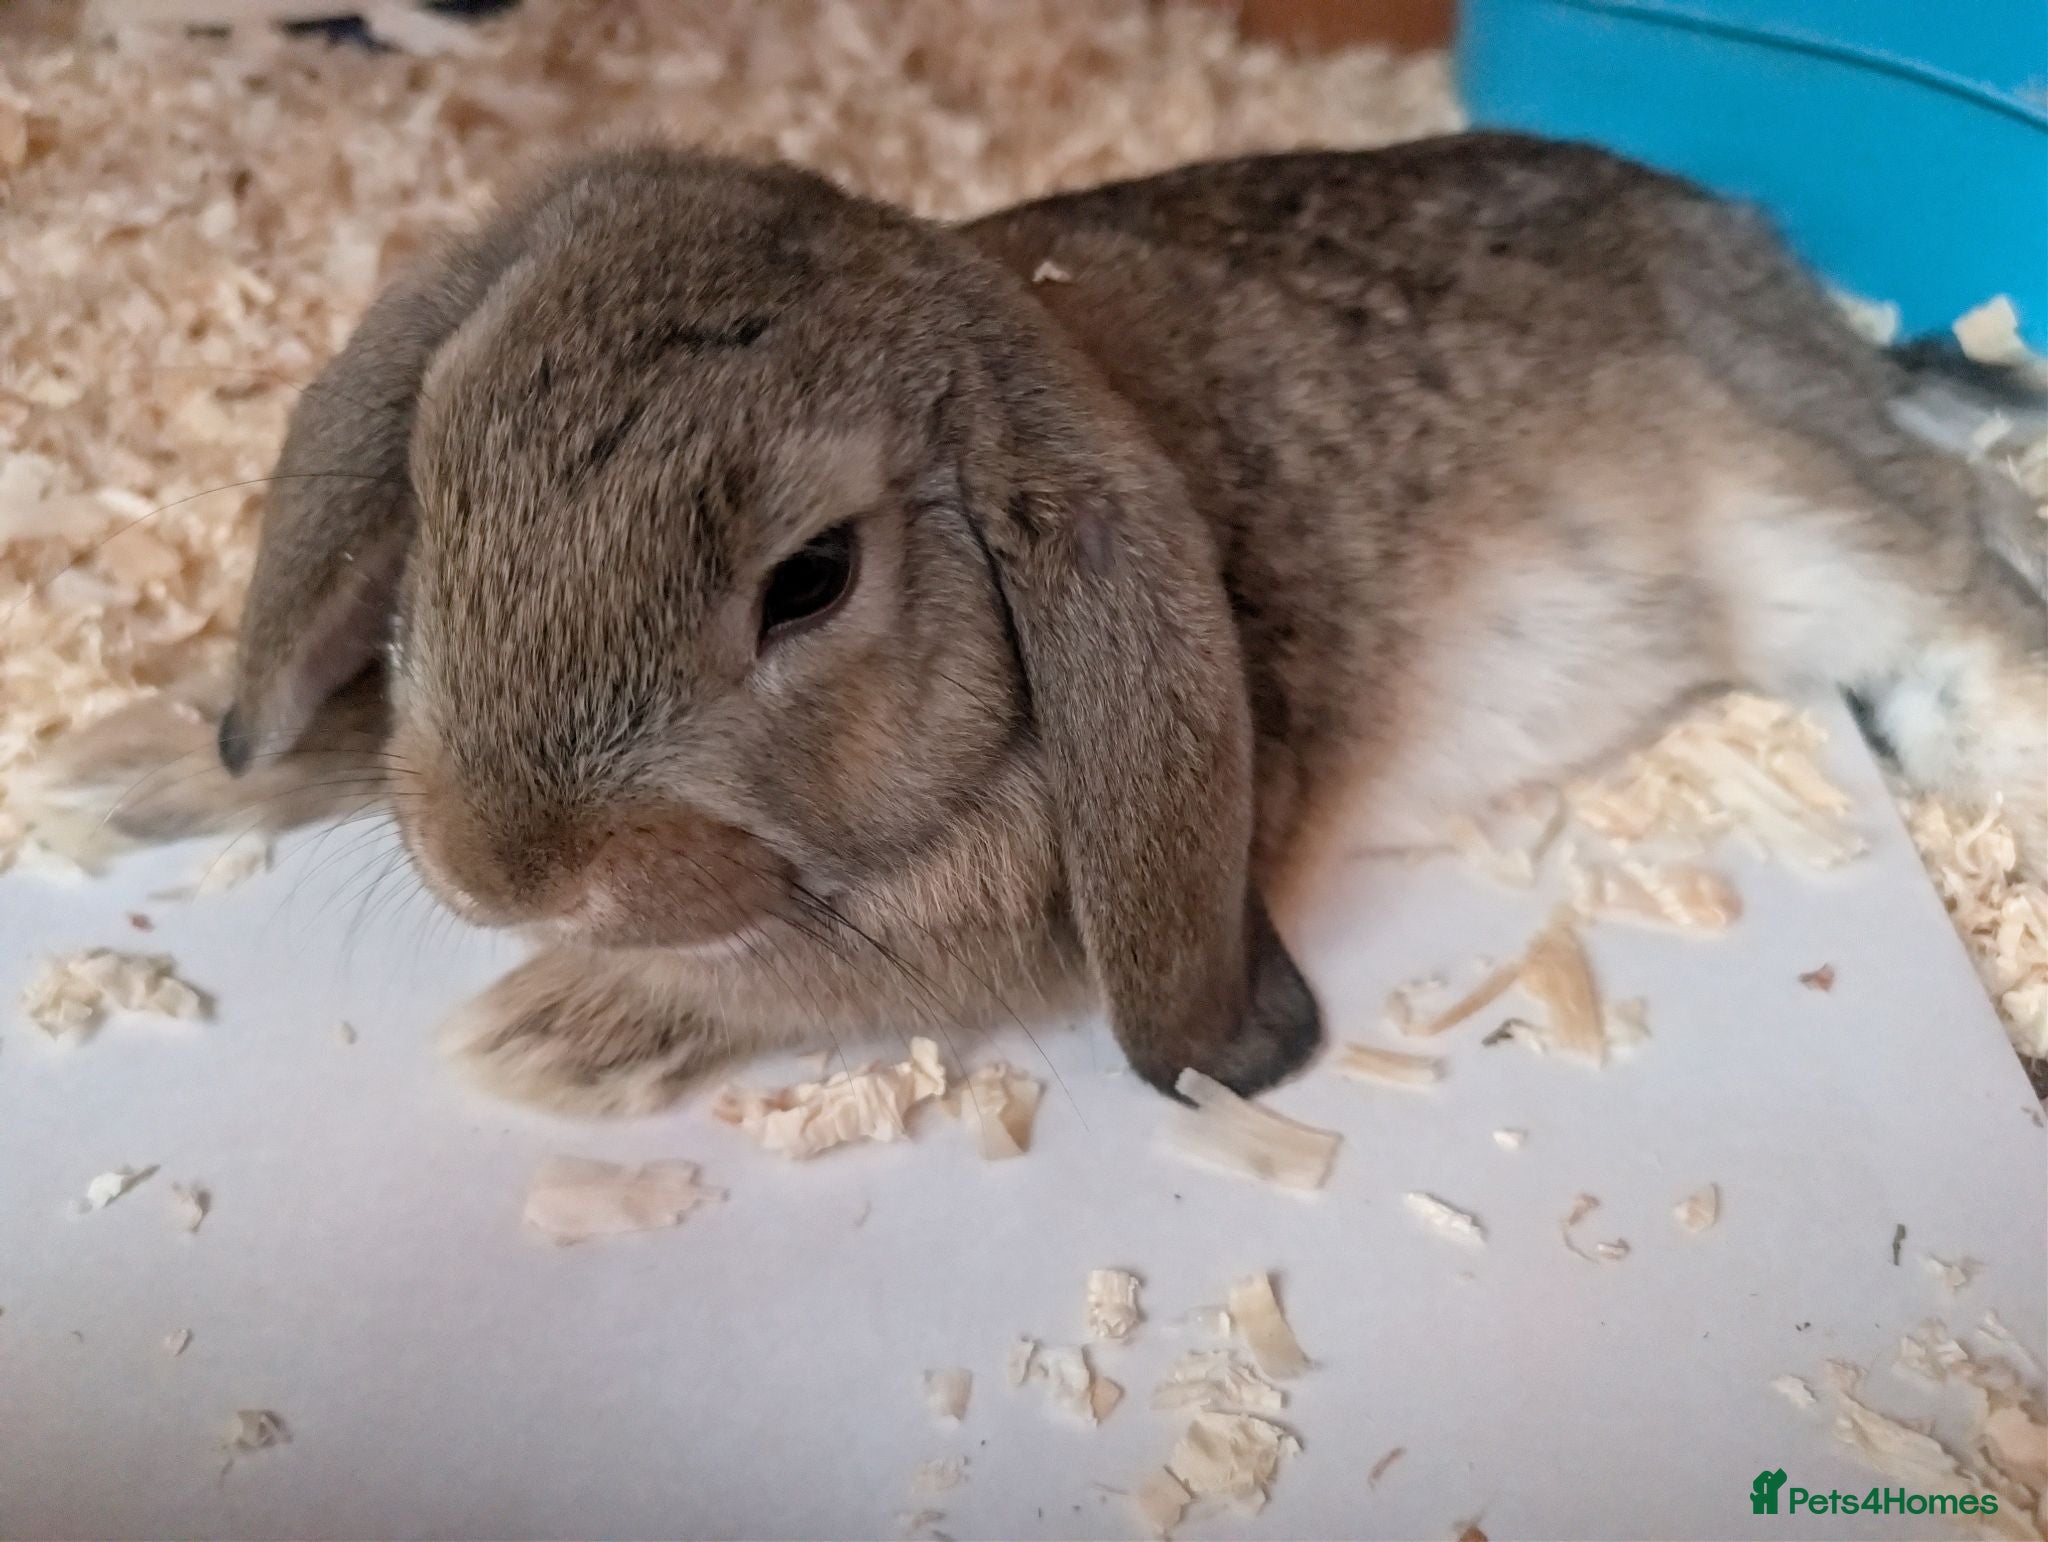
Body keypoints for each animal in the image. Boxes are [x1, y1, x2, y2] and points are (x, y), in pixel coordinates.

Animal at [211, 132, 2047, 1116]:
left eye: (810, 579)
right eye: (437, 475)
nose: (492, 876)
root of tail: (1769, 270)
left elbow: (796, 980)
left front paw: (547, 1027)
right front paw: (170, 760)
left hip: (1801, 525)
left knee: (1965, 558)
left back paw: (2005, 755)